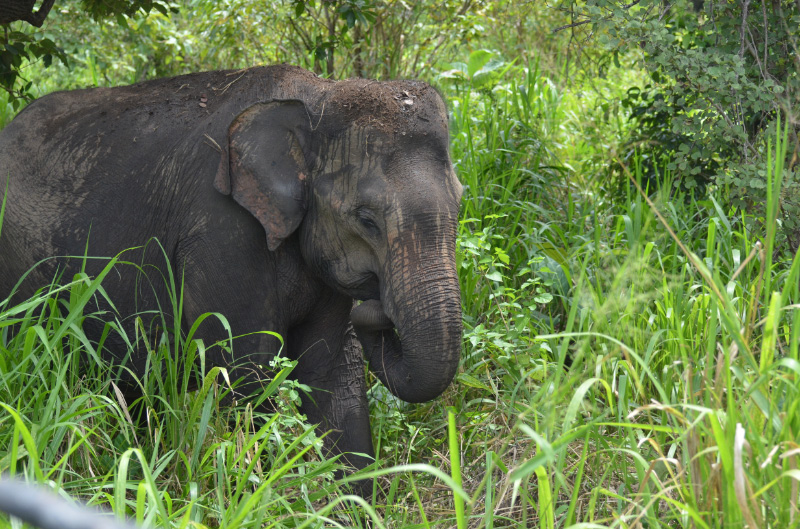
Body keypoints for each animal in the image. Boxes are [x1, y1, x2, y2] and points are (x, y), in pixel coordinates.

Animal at [0, 65, 463, 492]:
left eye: (460, 203)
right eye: (366, 219)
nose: (375, 306)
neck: (316, 96)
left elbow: (332, 377)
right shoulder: (222, 235)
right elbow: (246, 373)